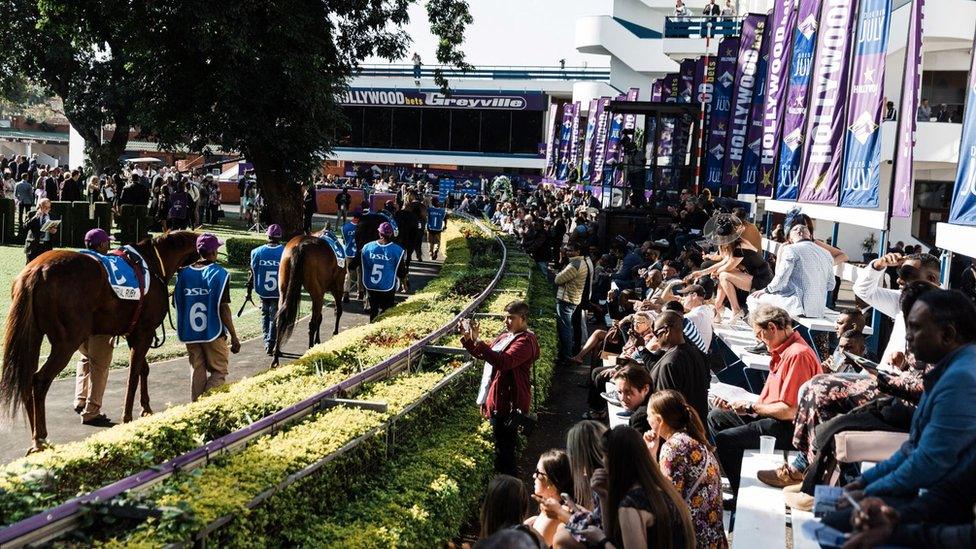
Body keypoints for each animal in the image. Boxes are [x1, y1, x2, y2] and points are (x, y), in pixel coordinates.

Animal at [0, 229, 201, 452]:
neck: (155, 262)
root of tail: (35, 271)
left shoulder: (133, 334)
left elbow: (143, 369)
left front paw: (146, 408)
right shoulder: (144, 332)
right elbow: (133, 374)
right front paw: (127, 417)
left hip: (33, 335)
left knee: (27, 378)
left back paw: (35, 437)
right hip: (66, 342)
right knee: (40, 380)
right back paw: (40, 437)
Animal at [270, 233, 346, 362]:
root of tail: (300, 246)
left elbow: (320, 317)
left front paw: (318, 341)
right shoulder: (336, 286)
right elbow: (337, 311)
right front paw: (334, 334)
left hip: (284, 287)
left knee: (281, 319)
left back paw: (276, 356)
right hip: (319, 290)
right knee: (312, 323)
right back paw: (310, 351)